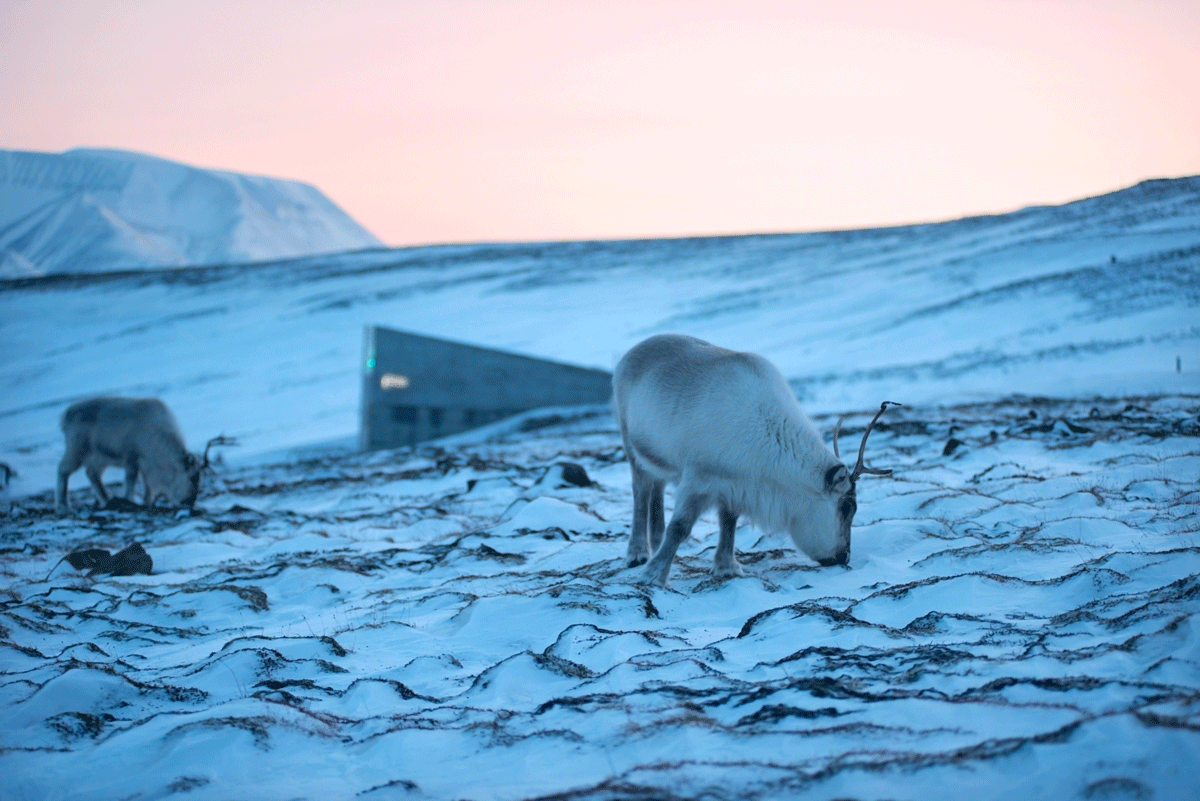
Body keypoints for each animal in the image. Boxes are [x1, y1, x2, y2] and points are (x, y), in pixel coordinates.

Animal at [55, 397, 235, 514]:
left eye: (200, 478)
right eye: (191, 477)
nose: (189, 502)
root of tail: (65, 416)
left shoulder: (147, 464)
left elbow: (149, 485)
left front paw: (147, 502)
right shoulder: (132, 456)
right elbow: (131, 480)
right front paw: (131, 500)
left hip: (99, 458)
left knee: (92, 474)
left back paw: (107, 500)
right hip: (77, 450)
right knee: (63, 470)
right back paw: (64, 506)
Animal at [613, 334, 897, 586]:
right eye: (847, 508)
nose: (844, 556)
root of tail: (629, 354)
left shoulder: (737, 485)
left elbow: (729, 524)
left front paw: (727, 567)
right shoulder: (699, 477)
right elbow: (680, 527)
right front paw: (653, 575)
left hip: (658, 457)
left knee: (657, 486)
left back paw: (655, 539)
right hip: (629, 441)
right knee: (641, 491)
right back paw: (638, 553)